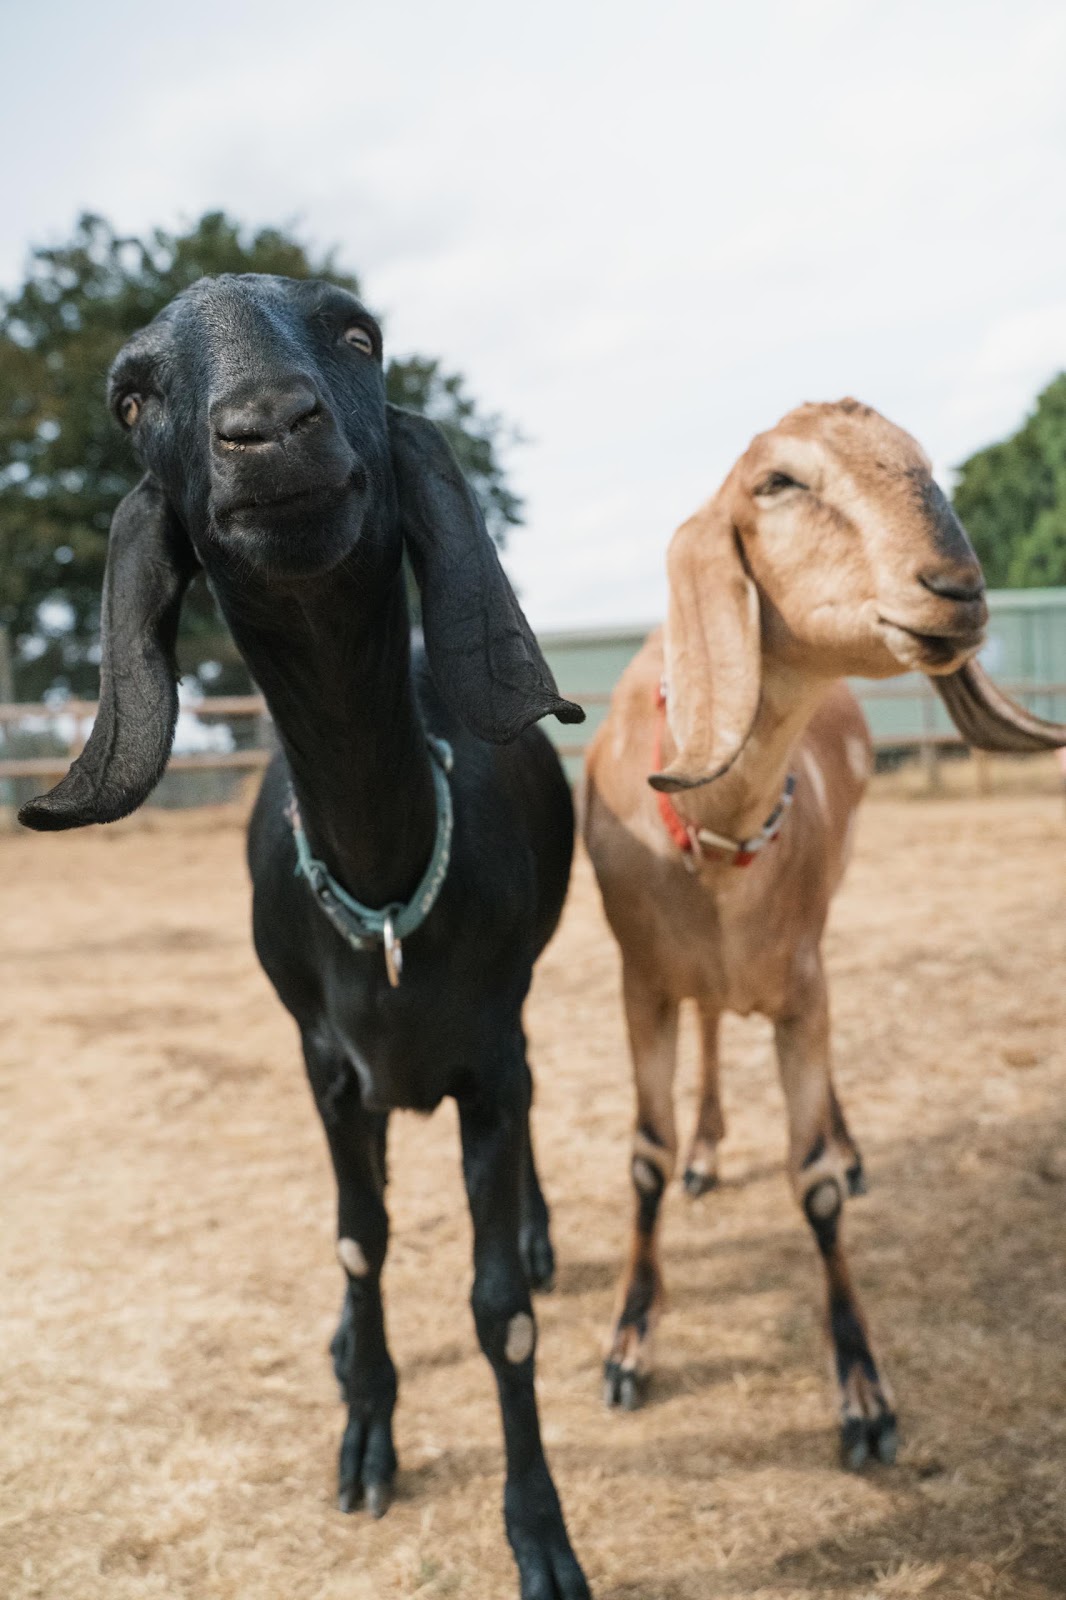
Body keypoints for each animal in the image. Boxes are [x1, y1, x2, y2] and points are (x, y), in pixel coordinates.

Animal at [20, 274, 591, 1600]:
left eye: (359, 336)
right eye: (131, 397)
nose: (267, 428)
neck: (383, 885)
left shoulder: (490, 1057)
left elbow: (499, 1304)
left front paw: (540, 1533)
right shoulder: (324, 1065)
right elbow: (356, 1242)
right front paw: (367, 1432)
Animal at [583, 398, 1066, 1467]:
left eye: (924, 465)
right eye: (778, 482)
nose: (958, 590)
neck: (717, 832)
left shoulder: (802, 988)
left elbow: (814, 1189)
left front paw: (864, 1393)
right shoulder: (641, 982)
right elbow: (643, 1156)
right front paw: (630, 1344)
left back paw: (844, 1145)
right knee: (712, 1030)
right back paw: (710, 1153)